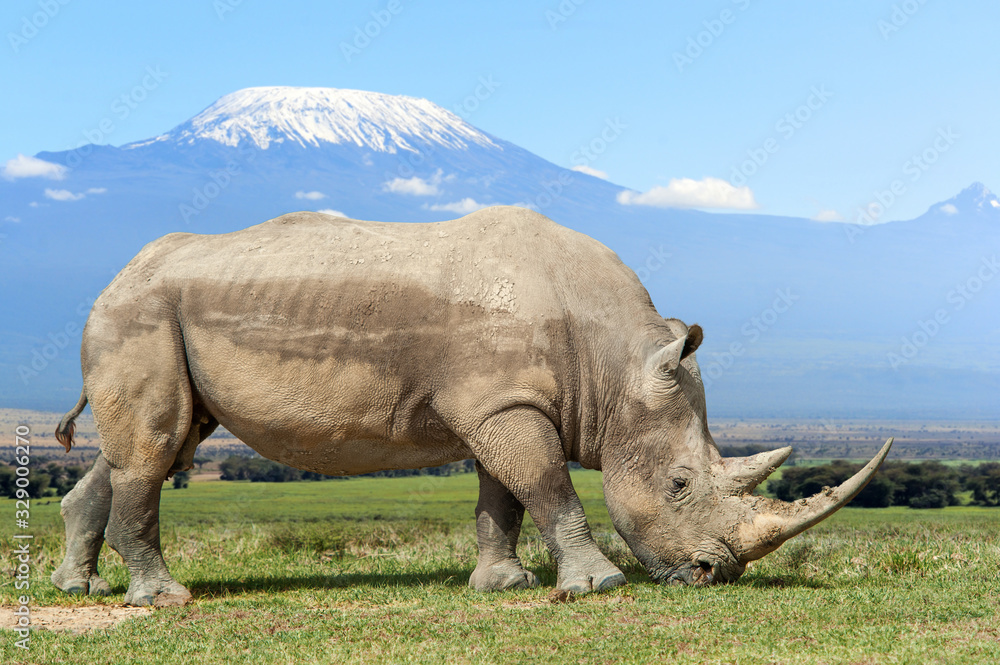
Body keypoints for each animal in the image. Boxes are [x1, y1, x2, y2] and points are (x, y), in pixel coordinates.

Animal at [52, 206, 891, 607]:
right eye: (680, 485)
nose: (713, 574)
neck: (615, 362)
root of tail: (116, 277)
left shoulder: (502, 403)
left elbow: (505, 496)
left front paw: (503, 584)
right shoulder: (506, 405)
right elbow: (548, 486)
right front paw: (597, 586)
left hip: (156, 313)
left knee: (154, 444)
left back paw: (77, 588)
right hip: (141, 312)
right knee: (156, 445)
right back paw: (163, 598)